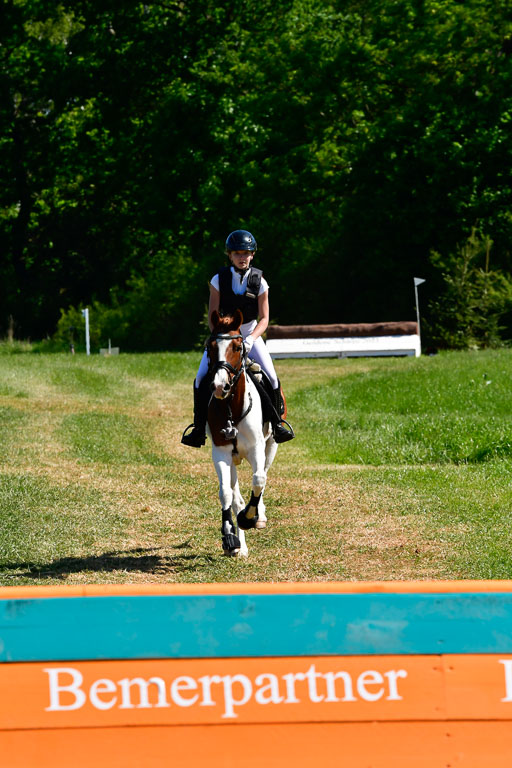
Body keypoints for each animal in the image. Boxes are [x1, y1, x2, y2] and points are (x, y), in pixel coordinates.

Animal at [206, 310, 282, 560]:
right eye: (209, 347)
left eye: (238, 347)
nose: (220, 386)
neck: (232, 408)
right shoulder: (221, 453)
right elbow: (226, 494)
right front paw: (230, 538)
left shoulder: (258, 448)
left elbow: (258, 480)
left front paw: (250, 518)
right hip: (233, 461)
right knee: (235, 495)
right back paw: (240, 545)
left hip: (271, 446)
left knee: (263, 475)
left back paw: (259, 515)